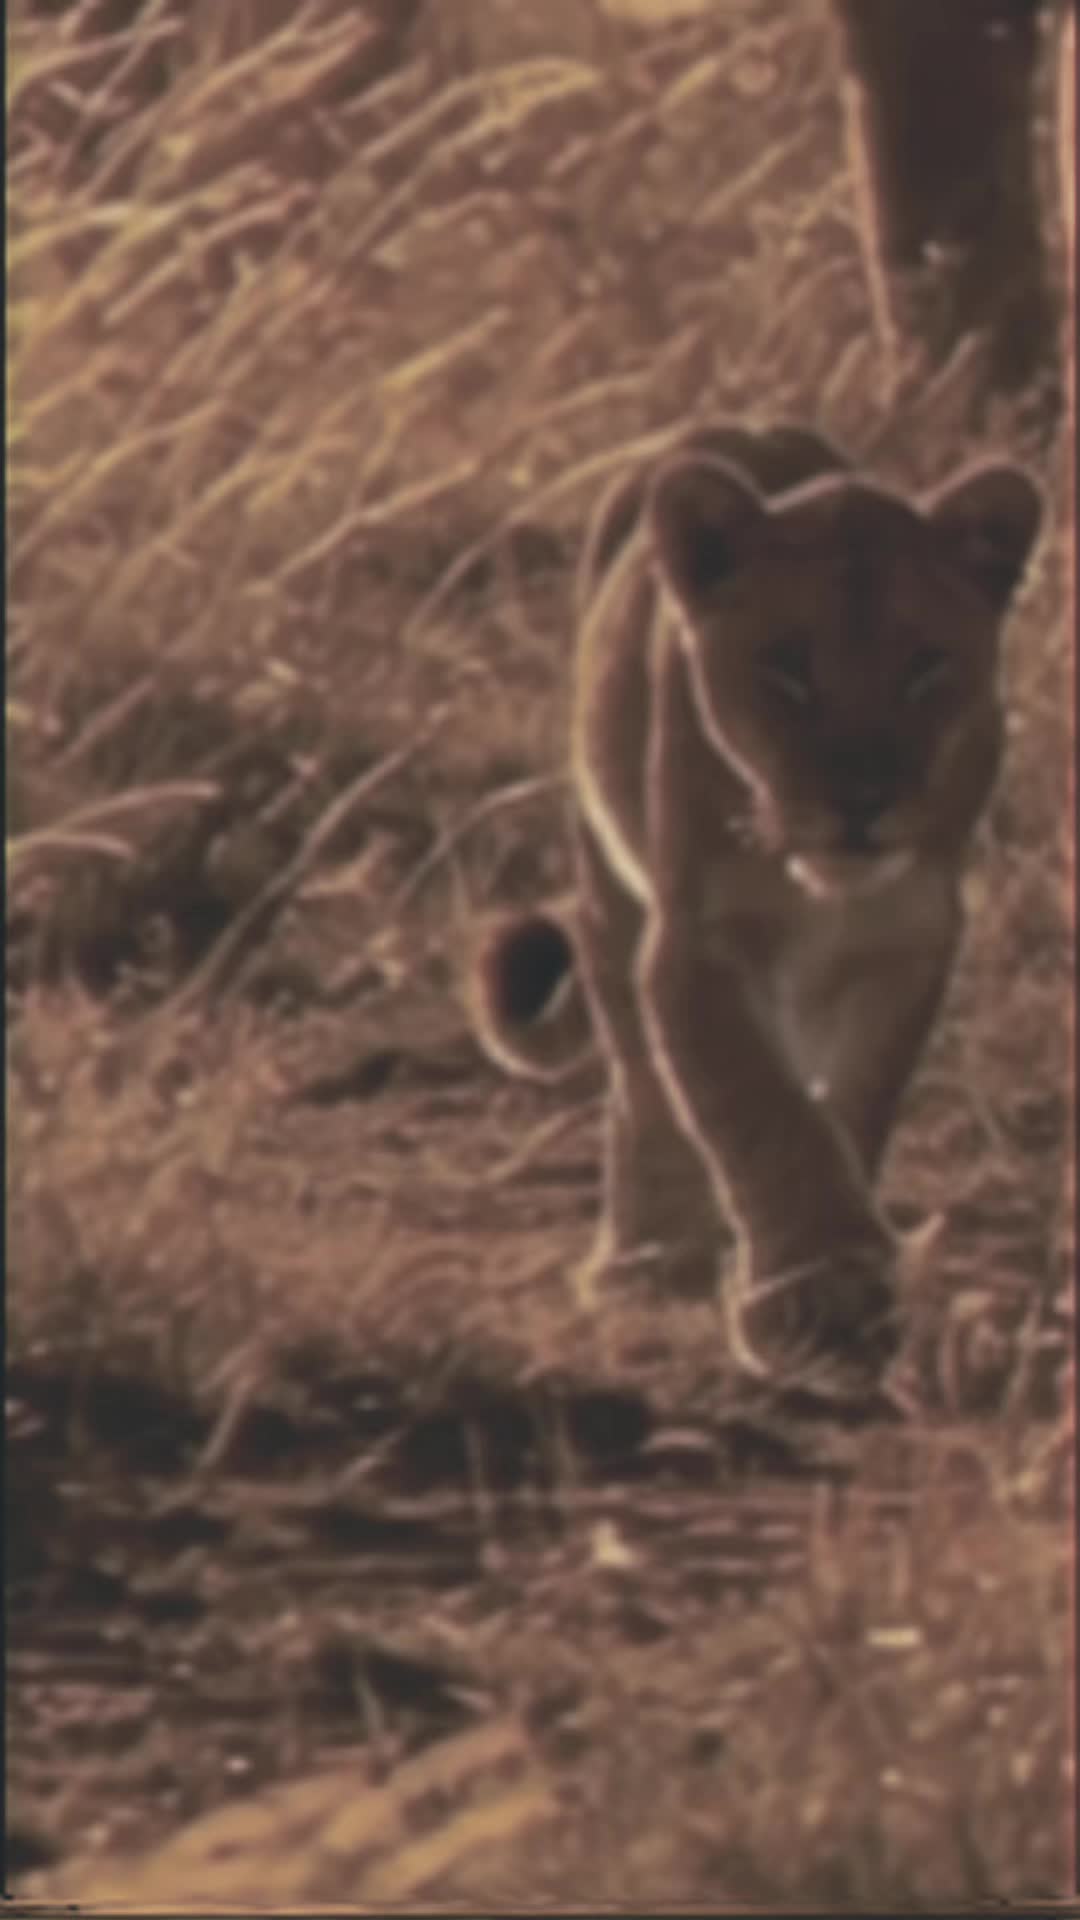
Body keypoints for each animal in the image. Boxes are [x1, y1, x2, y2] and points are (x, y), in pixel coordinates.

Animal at [471, 423, 1042, 1400]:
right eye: (787, 667)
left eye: (926, 666)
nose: (860, 802)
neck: (819, 891)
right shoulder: (694, 945)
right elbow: (759, 1106)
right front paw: (810, 1303)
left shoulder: (911, 940)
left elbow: (848, 1109)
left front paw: (841, 1281)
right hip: (608, 890)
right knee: (640, 1085)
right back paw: (646, 1260)